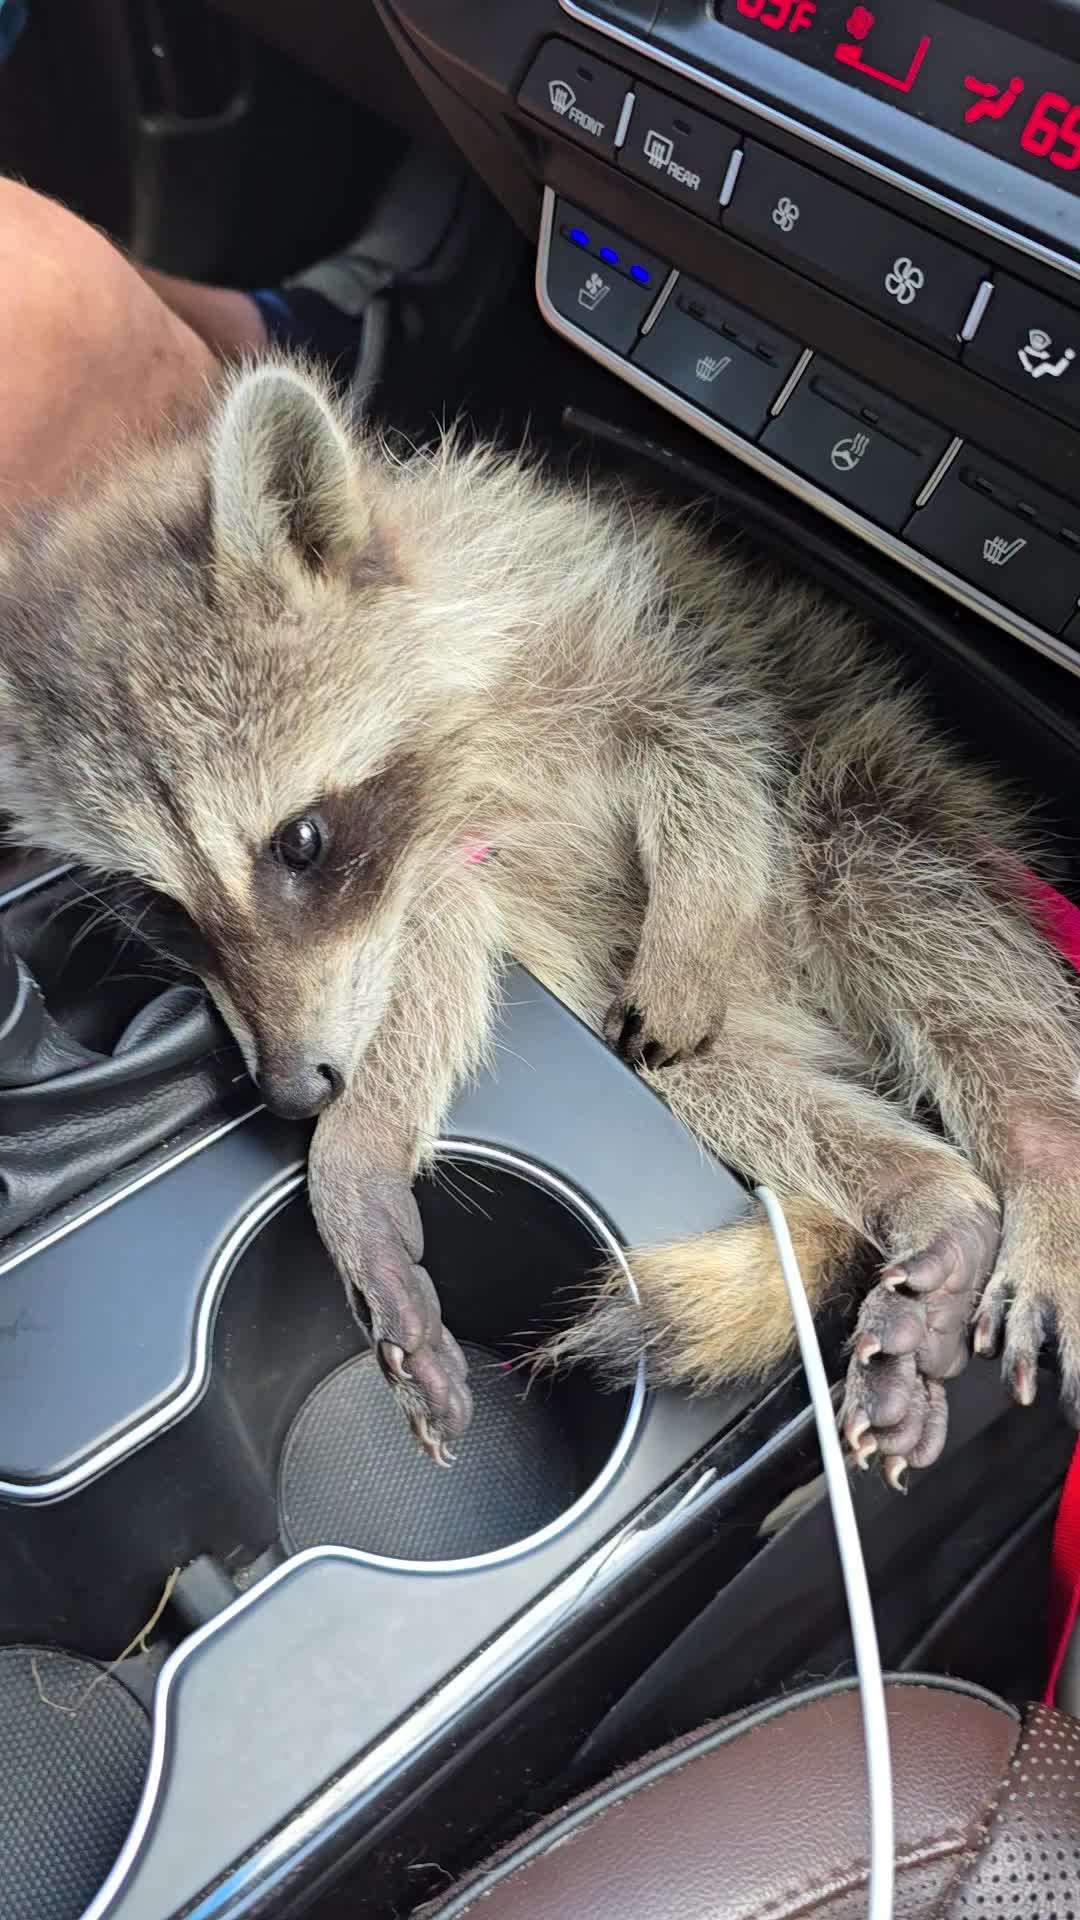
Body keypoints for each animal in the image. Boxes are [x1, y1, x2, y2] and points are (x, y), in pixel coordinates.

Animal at [2, 357, 1079, 1489]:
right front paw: (358, 1149)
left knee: (903, 911)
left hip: (872, 795)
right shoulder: (427, 895)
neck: (456, 772)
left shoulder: (619, 612)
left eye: (299, 841)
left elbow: (708, 735)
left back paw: (1041, 1159)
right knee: (733, 1082)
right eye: (163, 912)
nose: (294, 1089)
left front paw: (700, 892)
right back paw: (936, 1196)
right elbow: (424, 977)